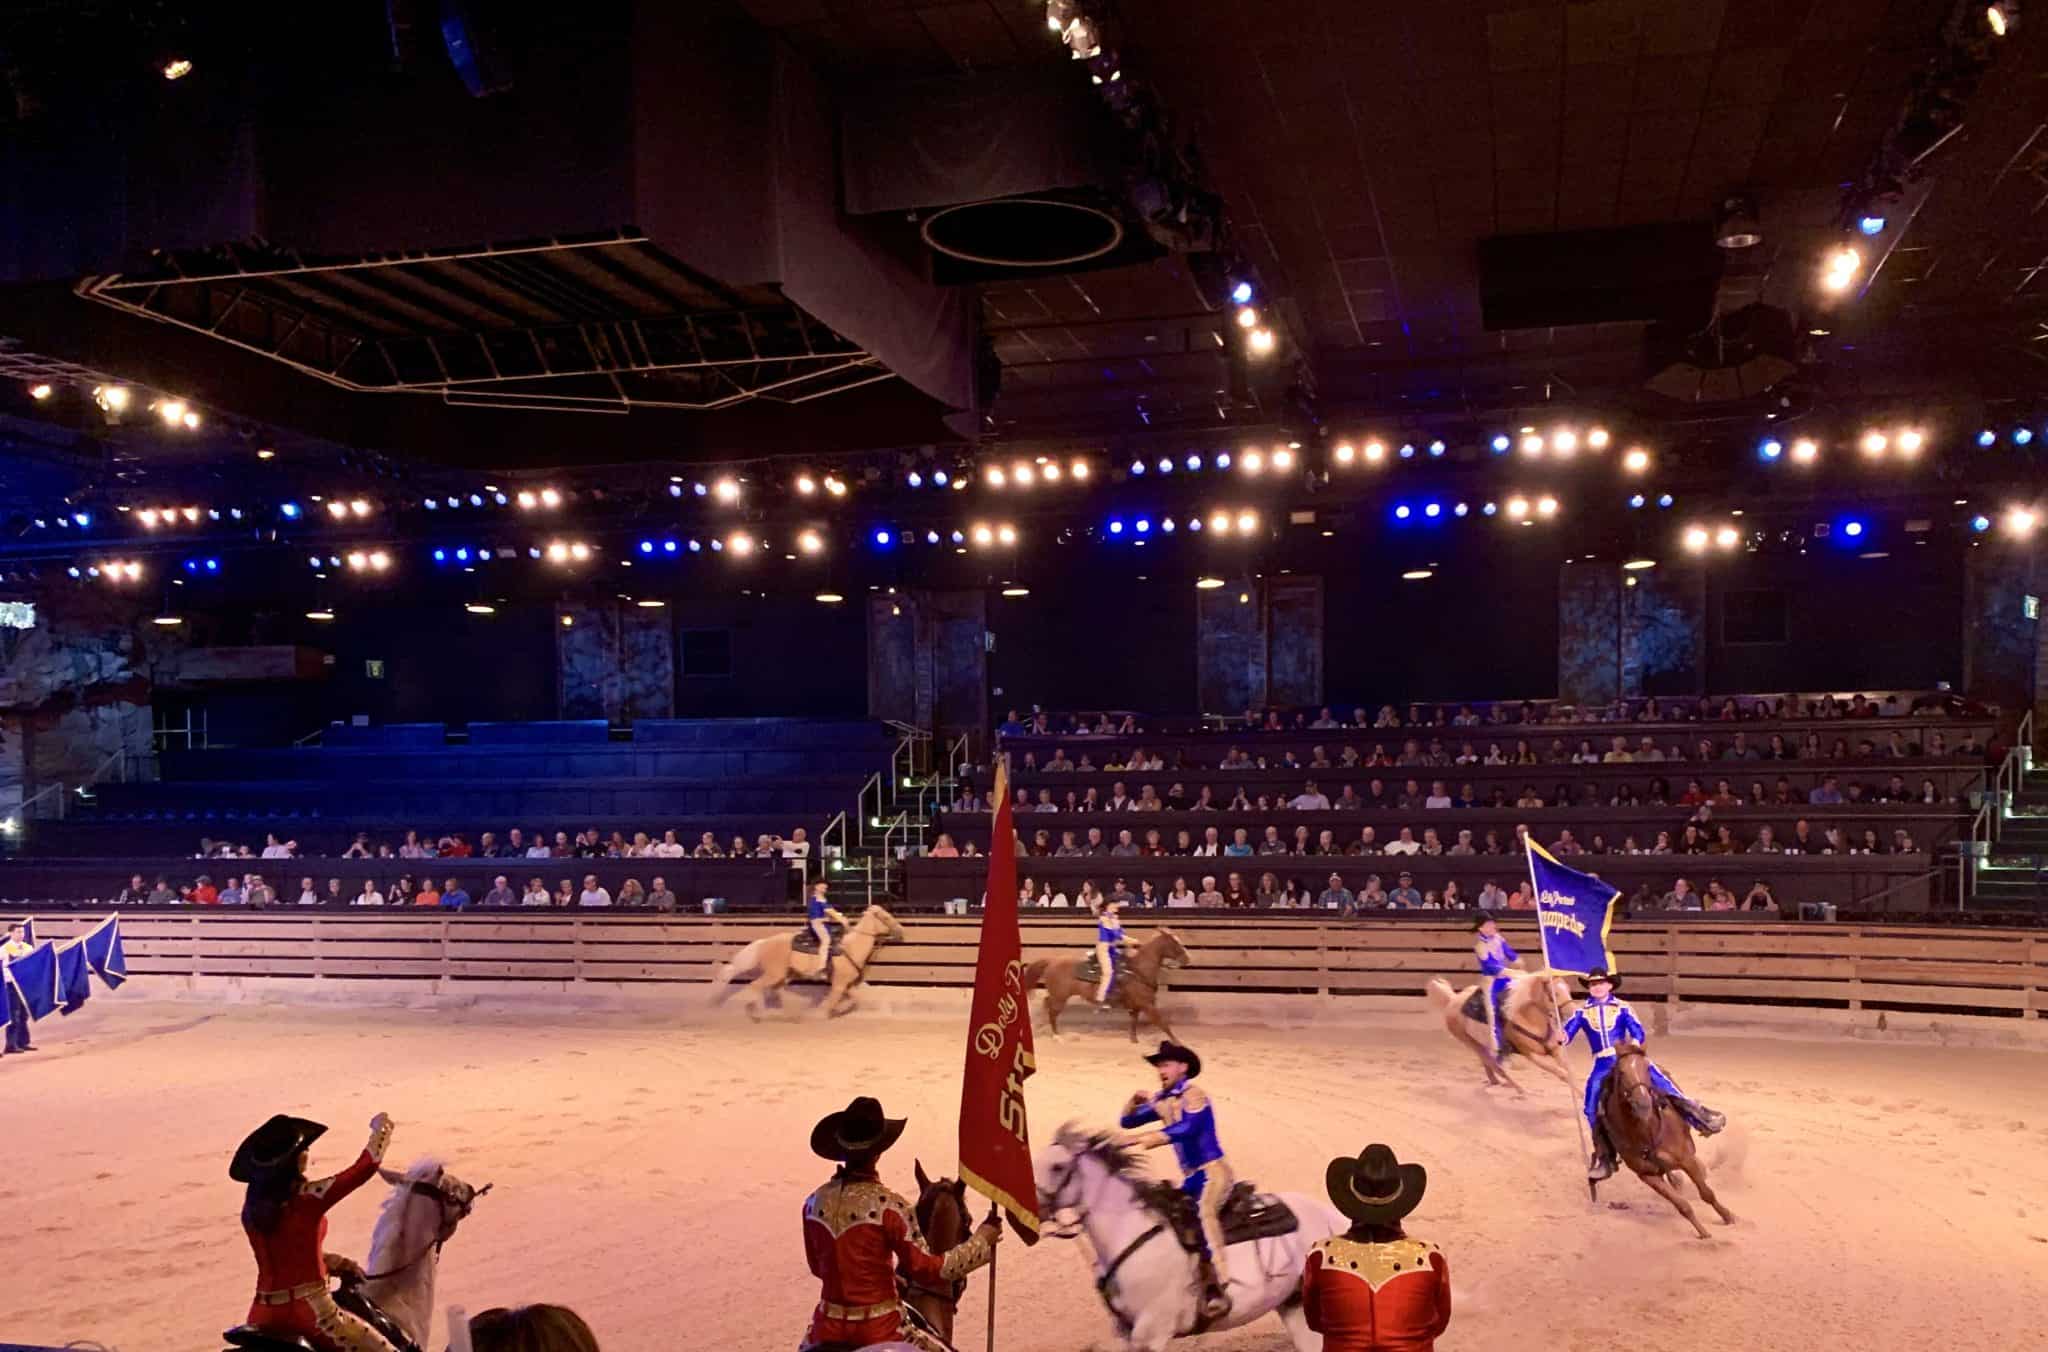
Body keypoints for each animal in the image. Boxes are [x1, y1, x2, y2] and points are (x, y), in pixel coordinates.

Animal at [712, 901, 905, 1020]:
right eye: (885, 917)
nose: (900, 931)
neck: (851, 947)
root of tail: (764, 942)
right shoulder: (839, 984)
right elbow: (832, 1000)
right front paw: (821, 1014)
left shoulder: (849, 984)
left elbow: (854, 1000)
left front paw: (838, 1011)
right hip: (775, 973)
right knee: (756, 986)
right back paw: (759, 1013)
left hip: (785, 974)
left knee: (775, 990)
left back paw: (788, 1015)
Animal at [1019, 930, 1196, 1044]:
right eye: (1175, 943)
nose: (1188, 958)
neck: (1138, 970)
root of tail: (1052, 961)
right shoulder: (1147, 1005)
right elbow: (1163, 1023)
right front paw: (1178, 1042)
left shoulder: (1136, 1006)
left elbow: (1134, 1022)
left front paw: (1134, 1040)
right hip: (1060, 997)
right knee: (1052, 1011)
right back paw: (1056, 1036)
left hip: (1057, 996)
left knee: (1047, 1004)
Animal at [1032, 1122, 1351, 1352]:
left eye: (1058, 1166)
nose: (1032, 1206)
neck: (1131, 1232)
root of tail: (1329, 1217)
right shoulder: (1125, 1334)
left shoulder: (1151, 1334)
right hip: (1294, 1306)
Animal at [1433, 966, 1572, 1089]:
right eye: (1555, 994)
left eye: (1568, 989)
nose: (1572, 1011)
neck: (1531, 1021)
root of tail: (1453, 999)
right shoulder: (1531, 1055)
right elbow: (1562, 1073)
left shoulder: (1555, 1049)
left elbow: (1569, 1072)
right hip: (1474, 1045)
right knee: (1498, 1068)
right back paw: (1521, 1090)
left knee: (1489, 1067)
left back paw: (1497, 1083)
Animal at [1605, 1040, 1736, 1237]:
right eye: (1620, 1071)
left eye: (1647, 1067)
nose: (1643, 1103)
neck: (1648, 1133)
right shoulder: (1648, 1175)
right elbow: (1682, 1206)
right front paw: (1703, 1233)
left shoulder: (1686, 1159)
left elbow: (1706, 1193)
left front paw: (1728, 1216)